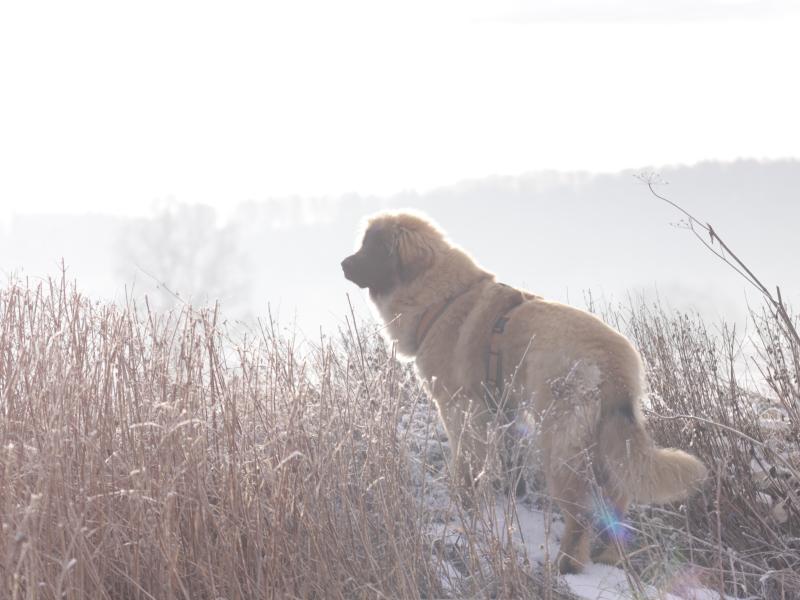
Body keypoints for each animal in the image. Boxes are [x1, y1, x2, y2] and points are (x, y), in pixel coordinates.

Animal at [340, 209, 708, 576]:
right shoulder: (506, 410)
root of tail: (612, 361)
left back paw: (567, 565)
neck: (443, 298)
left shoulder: (460, 408)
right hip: (607, 439)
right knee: (617, 499)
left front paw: (464, 502)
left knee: (580, 511)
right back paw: (609, 557)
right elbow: (508, 461)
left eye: (373, 247)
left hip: (559, 441)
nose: (343, 263)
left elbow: (465, 463)